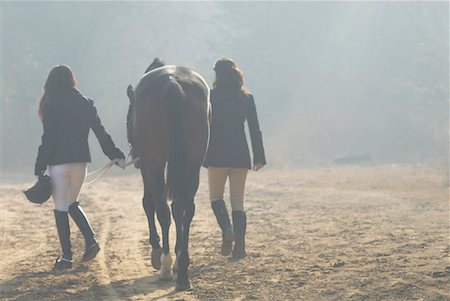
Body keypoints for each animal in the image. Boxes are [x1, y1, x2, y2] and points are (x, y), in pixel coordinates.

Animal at [126, 59, 209, 290]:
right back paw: (182, 269)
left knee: (162, 209)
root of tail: (172, 82)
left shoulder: (147, 165)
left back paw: (164, 264)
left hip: (153, 162)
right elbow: (178, 208)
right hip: (193, 164)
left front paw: (156, 252)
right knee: (185, 208)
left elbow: (148, 203)